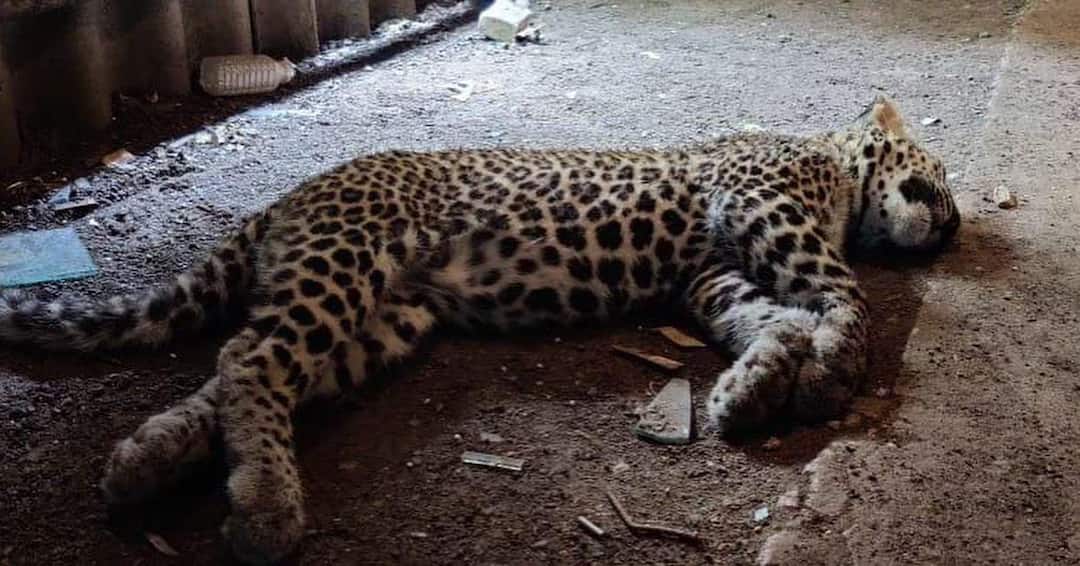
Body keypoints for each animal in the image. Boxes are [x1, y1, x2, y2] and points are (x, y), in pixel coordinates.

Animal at [0, 96, 959, 564]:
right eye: (941, 174)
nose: (951, 229)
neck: (834, 170)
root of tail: (293, 197)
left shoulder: (708, 270)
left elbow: (768, 314)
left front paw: (759, 381)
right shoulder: (761, 206)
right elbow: (844, 297)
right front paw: (827, 371)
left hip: (390, 317)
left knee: (246, 373)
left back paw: (146, 461)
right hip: (351, 260)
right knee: (252, 355)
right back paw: (267, 508)